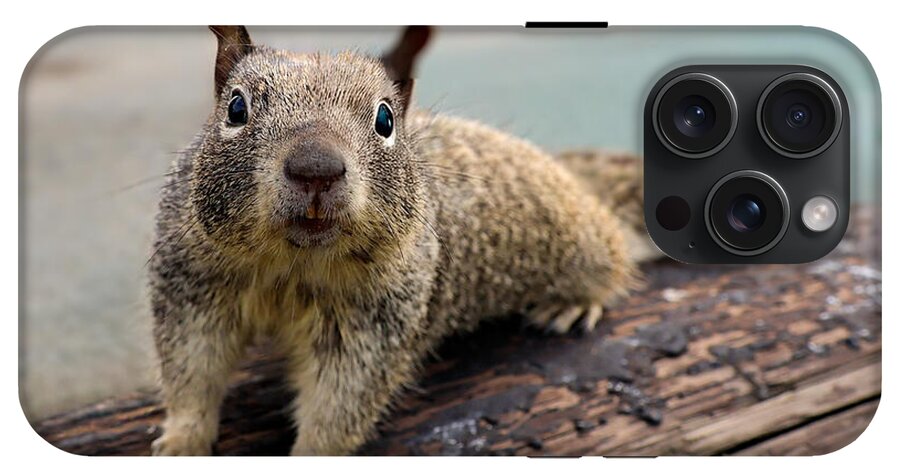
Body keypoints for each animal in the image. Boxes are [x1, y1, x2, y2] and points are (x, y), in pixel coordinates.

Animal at [149, 25, 653, 456]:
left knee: (614, 255)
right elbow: (191, 372)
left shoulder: (374, 323)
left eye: (385, 118)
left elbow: (339, 405)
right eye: (236, 109)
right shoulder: (193, 286)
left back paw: (574, 303)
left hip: (582, 240)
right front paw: (180, 441)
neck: (293, 265)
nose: (316, 168)